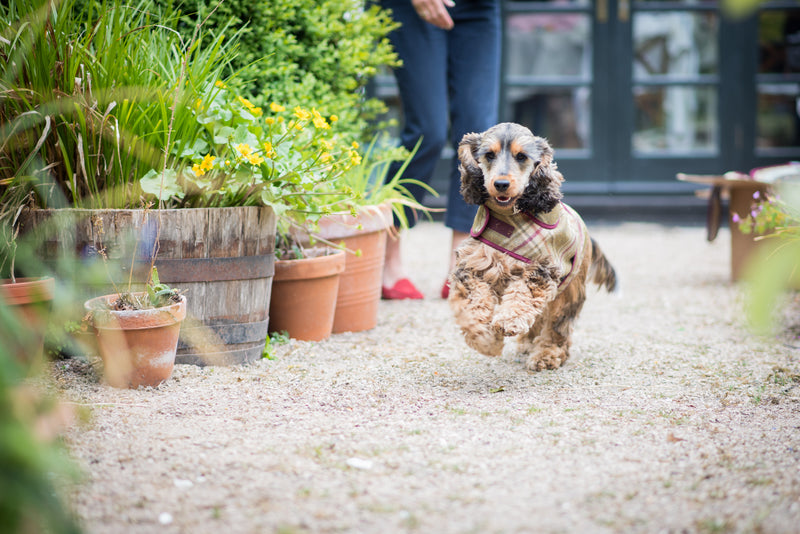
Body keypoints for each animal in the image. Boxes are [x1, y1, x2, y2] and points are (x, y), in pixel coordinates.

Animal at [446, 122, 616, 372]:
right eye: (489, 155)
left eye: (521, 156)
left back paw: (547, 354)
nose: (501, 184)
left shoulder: (541, 269)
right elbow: (472, 306)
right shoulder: (471, 267)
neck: (509, 219)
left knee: (557, 327)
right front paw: (486, 340)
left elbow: (522, 295)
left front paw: (507, 320)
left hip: (569, 293)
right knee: (540, 318)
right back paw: (527, 343)